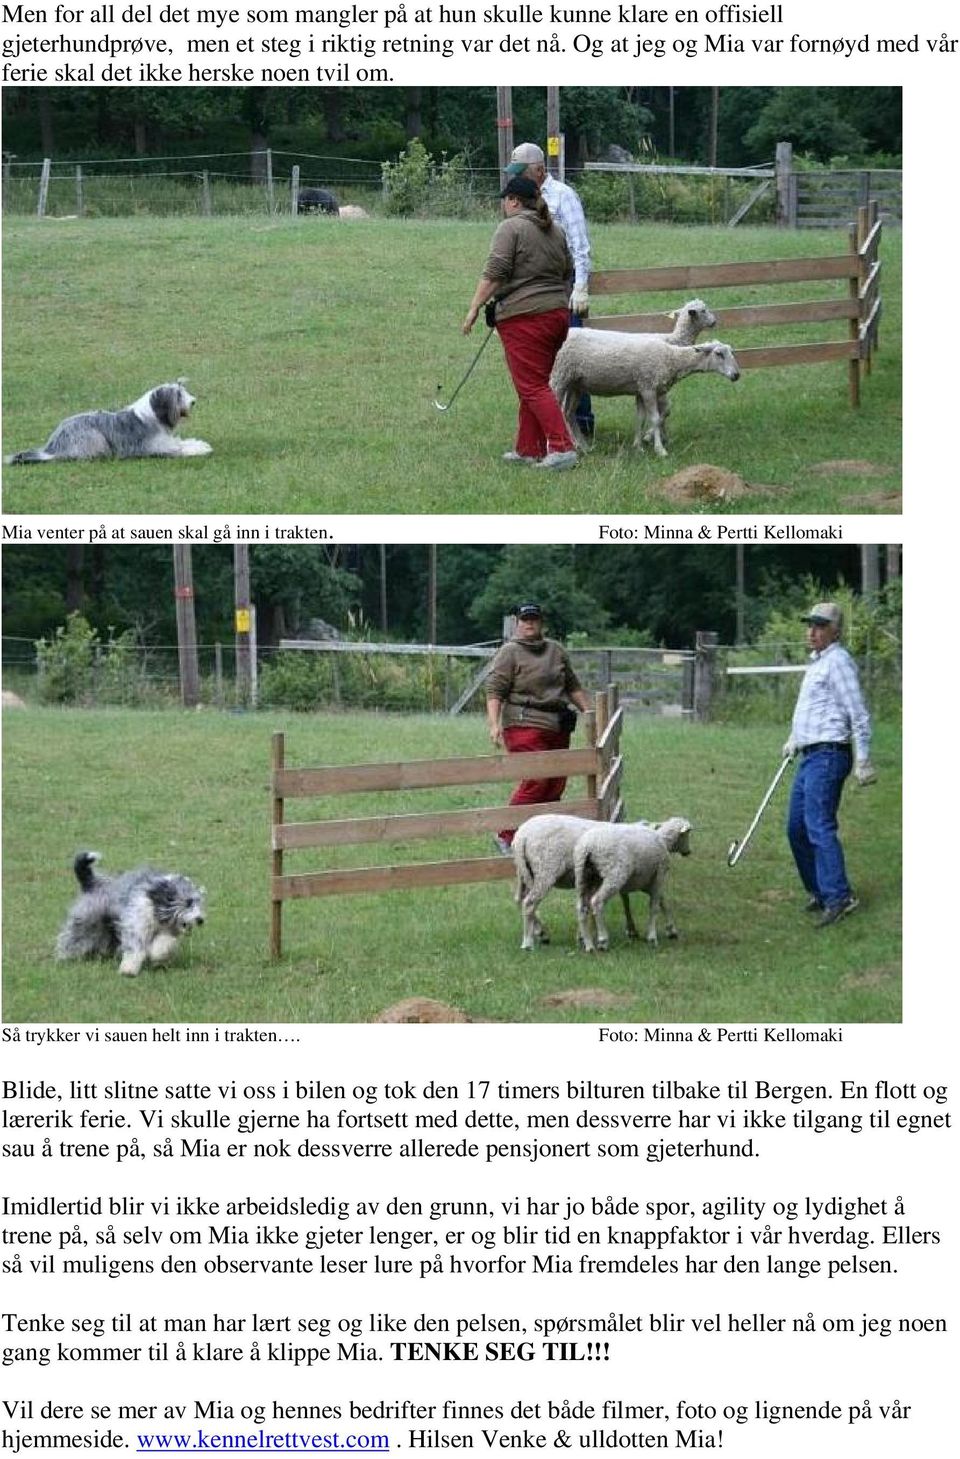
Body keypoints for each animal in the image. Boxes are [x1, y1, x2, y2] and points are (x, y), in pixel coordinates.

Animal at [5, 385, 211, 463]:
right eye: (178, 395)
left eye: (183, 392)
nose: (194, 401)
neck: (153, 415)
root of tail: (52, 447)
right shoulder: (155, 447)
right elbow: (180, 449)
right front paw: (200, 449)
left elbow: (182, 442)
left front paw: (200, 443)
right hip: (94, 436)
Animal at [56, 852, 205, 974]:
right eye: (188, 902)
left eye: (199, 902)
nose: (200, 920)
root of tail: (93, 884)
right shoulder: (136, 925)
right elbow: (135, 948)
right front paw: (128, 969)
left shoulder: (166, 932)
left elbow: (163, 944)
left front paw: (156, 956)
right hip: (86, 921)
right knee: (73, 938)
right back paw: (64, 957)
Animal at [507, 817, 636, 951]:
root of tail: (522, 836)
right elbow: (622, 898)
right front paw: (630, 930)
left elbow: (589, 904)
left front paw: (582, 936)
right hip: (545, 870)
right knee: (529, 903)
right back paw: (528, 943)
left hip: (524, 872)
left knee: (520, 899)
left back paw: (541, 933)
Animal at [545, 331, 741, 455]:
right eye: (719, 354)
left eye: (731, 352)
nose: (737, 375)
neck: (671, 358)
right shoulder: (648, 387)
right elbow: (654, 418)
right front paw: (660, 450)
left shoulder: (640, 389)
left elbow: (640, 418)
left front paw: (638, 446)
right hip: (559, 376)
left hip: (575, 384)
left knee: (569, 413)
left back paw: (583, 446)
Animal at [571, 817, 691, 951]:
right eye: (687, 834)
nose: (688, 852)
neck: (664, 840)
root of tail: (588, 845)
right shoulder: (659, 876)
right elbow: (654, 907)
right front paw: (652, 937)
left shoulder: (646, 883)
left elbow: (663, 902)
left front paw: (671, 930)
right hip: (615, 873)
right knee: (597, 902)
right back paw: (602, 940)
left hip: (583, 875)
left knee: (582, 906)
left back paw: (588, 944)